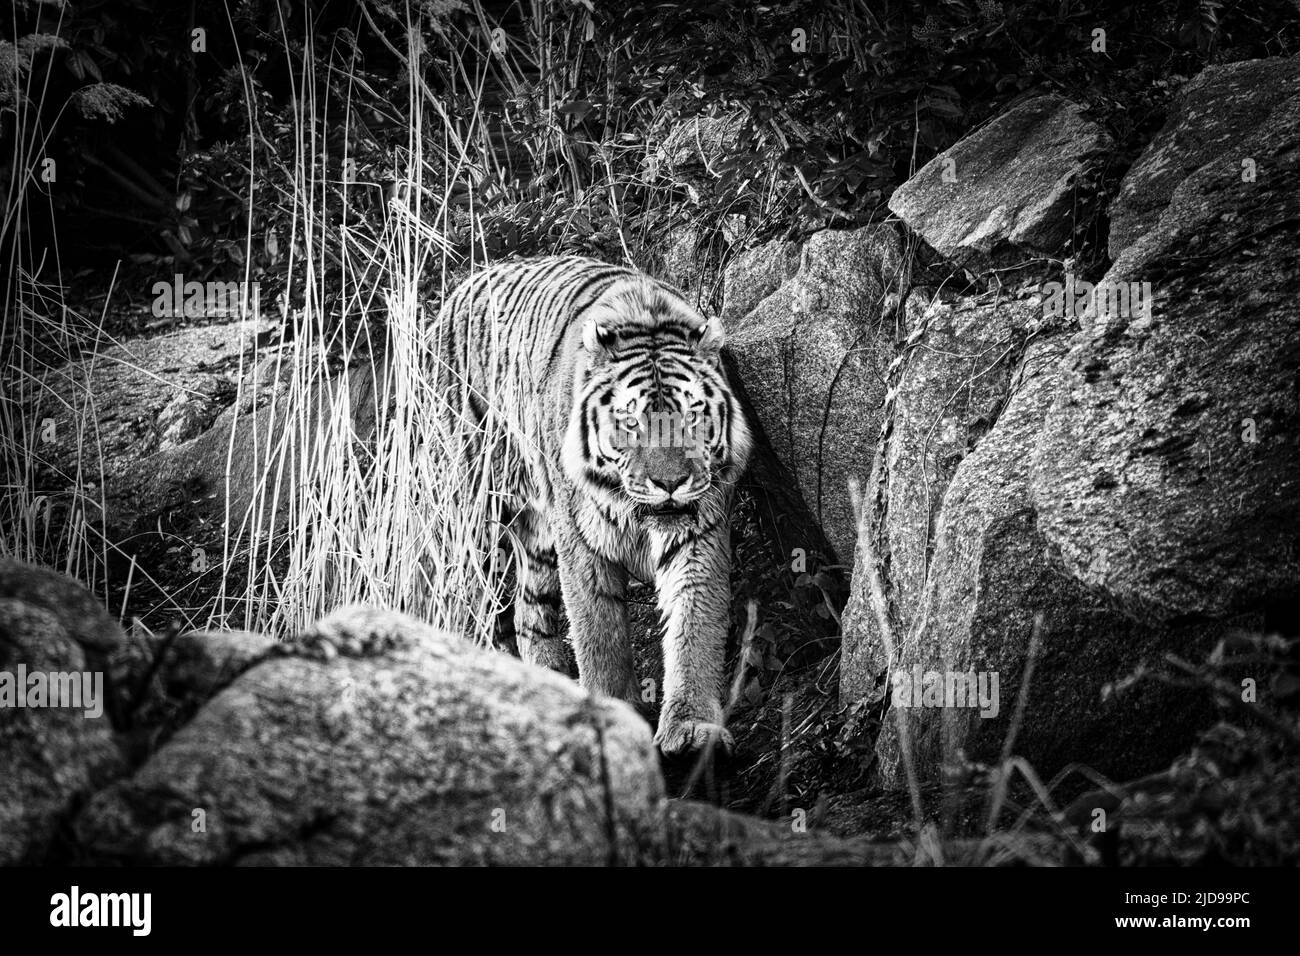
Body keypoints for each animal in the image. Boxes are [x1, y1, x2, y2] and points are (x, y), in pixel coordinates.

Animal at [434, 254, 754, 754]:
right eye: (630, 421)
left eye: (692, 415)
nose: (670, 483)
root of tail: (459, 288)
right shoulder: (583, 545)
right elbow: (599, 636)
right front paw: (613, 718)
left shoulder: (698, 535)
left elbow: (694, 626)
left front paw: (692, 730)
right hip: (479, 515)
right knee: (481, 604)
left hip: (538, 538)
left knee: (530, 613)